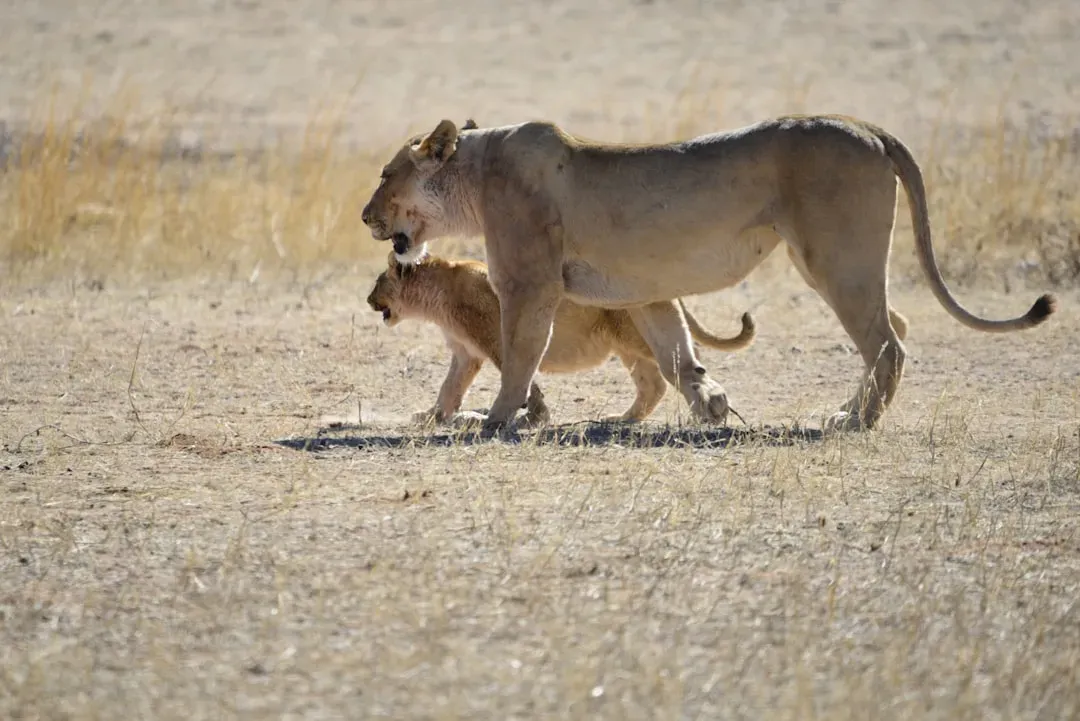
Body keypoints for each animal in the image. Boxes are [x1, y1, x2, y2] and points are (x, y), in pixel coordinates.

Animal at [366, 250, 756, 427]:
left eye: (377, 282)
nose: (369, 300)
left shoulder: (496, 340)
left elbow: (521, 380)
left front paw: (533, 417)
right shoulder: (466, 354)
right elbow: (449, 388)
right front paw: (431, 415)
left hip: (639, 338)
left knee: (682, 365)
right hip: (627, 346)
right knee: (653, 385)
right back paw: (622, 418)